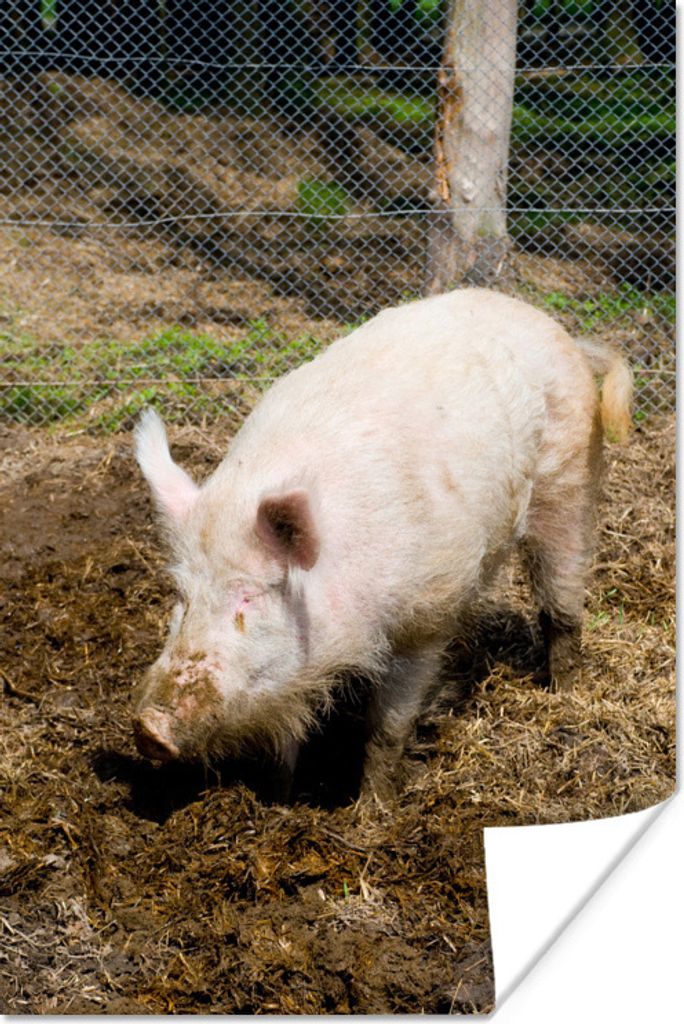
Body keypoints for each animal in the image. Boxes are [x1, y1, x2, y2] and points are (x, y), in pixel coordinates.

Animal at [132, 288, 632, 800]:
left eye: (249, 595)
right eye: (183, 596)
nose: (149, 729)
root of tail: (559, 332)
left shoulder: (427, 615)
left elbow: (388, 727)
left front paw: (373, 809)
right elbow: (285, 737)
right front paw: (279, 798)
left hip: (567, 478)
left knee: (561, 595)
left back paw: (564, 693)